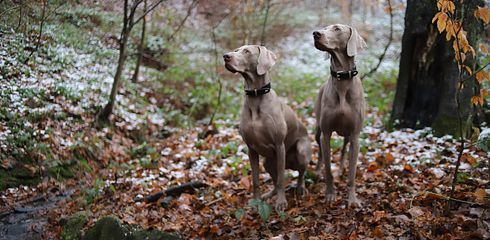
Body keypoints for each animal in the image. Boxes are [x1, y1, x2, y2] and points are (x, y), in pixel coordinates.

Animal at [223, 46, 310, 211]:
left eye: (247, 51)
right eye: (236, 50)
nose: (225, 56)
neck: (255, 96)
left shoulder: (280, 145)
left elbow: (282, 179)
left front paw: (281, 202)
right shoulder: (251, 149)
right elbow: (256, 180)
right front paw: (255, 203)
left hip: (301, 151)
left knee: (300, 173)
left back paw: (300, 188)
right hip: (267, 162)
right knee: (275, 182)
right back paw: (268, 195)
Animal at [312, 24, 366, 207]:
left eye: (336, 29)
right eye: (324, 27)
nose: (315, 33)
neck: (342, 80)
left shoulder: (356, 135)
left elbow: (352, 173)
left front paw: (352, 199)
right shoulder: (326, 134)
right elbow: (328, 169)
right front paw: (330, 194)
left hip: (348, 134)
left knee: (344, 149)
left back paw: (342, 168)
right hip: (317, 130)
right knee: (320, 152)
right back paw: (317, 171)